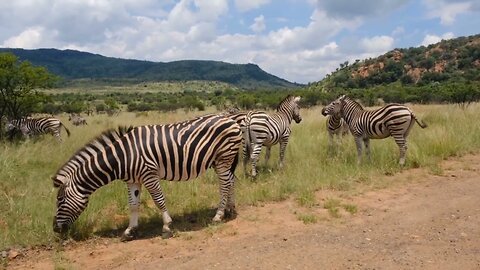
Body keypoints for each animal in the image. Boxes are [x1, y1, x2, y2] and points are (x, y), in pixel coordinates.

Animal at [51, 114, 244, 240]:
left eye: (60, 199)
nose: (55, 229)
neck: (123, 157)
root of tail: (230, 119)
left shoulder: (149, 174)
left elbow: (159, 200)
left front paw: (166, 227)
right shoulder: (132, 181)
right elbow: (133, 205)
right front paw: (130, 230)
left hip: (223, 158)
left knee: (224, 184)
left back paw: (218, 215)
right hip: (221, 161)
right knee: (230, 181)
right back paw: (230, 209)